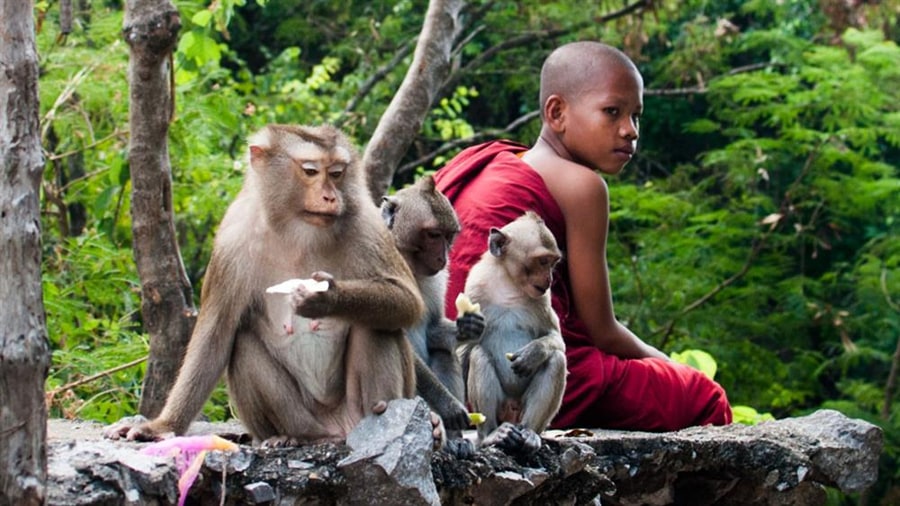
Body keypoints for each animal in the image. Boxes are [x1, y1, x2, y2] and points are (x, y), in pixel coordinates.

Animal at [104, 124, 425, 447]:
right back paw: (293, 436)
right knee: (243, 344)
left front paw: (328, 299)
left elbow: (407, 302)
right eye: (310, 171)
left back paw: (379, 417)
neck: (297, 230)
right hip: (305, 417)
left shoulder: (366, 225)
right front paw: (163, 425)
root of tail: (337, 428)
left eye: (336, 173)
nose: (331, 197)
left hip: (353, 409)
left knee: (376, 325)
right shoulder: (231, 241)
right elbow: (215, 338)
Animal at [380, 175, 485, 433]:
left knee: (443, 351)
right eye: (433, 235)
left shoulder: (437, 278)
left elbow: (432, 329)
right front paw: (449, 406)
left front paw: (468, 326)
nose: (443, 257)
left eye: (448, 236)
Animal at [459, 211, 567, 455]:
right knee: (478, 355)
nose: (549, 280)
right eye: (542, 261)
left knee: (557, 359)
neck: (509, 284)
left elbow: (556, 339)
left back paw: (529, 434)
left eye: (553, 262)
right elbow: (465, 350)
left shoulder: (542, 300)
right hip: (500, 408)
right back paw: (492, 434)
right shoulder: (474, 290)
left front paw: (533, 353)